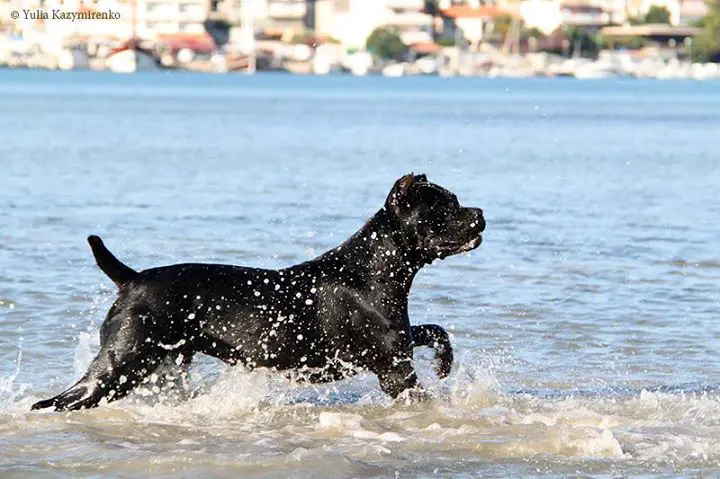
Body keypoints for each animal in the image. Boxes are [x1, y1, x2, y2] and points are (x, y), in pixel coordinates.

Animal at [32, 176, 484, 412]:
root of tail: (131, 278)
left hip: (158, 363)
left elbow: (436, 330)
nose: (479, 213)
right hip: (121, 363)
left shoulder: (401, 341)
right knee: (64, 399)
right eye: (446, 206)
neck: (373, 267)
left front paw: (445, 364)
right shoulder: (394, 369)